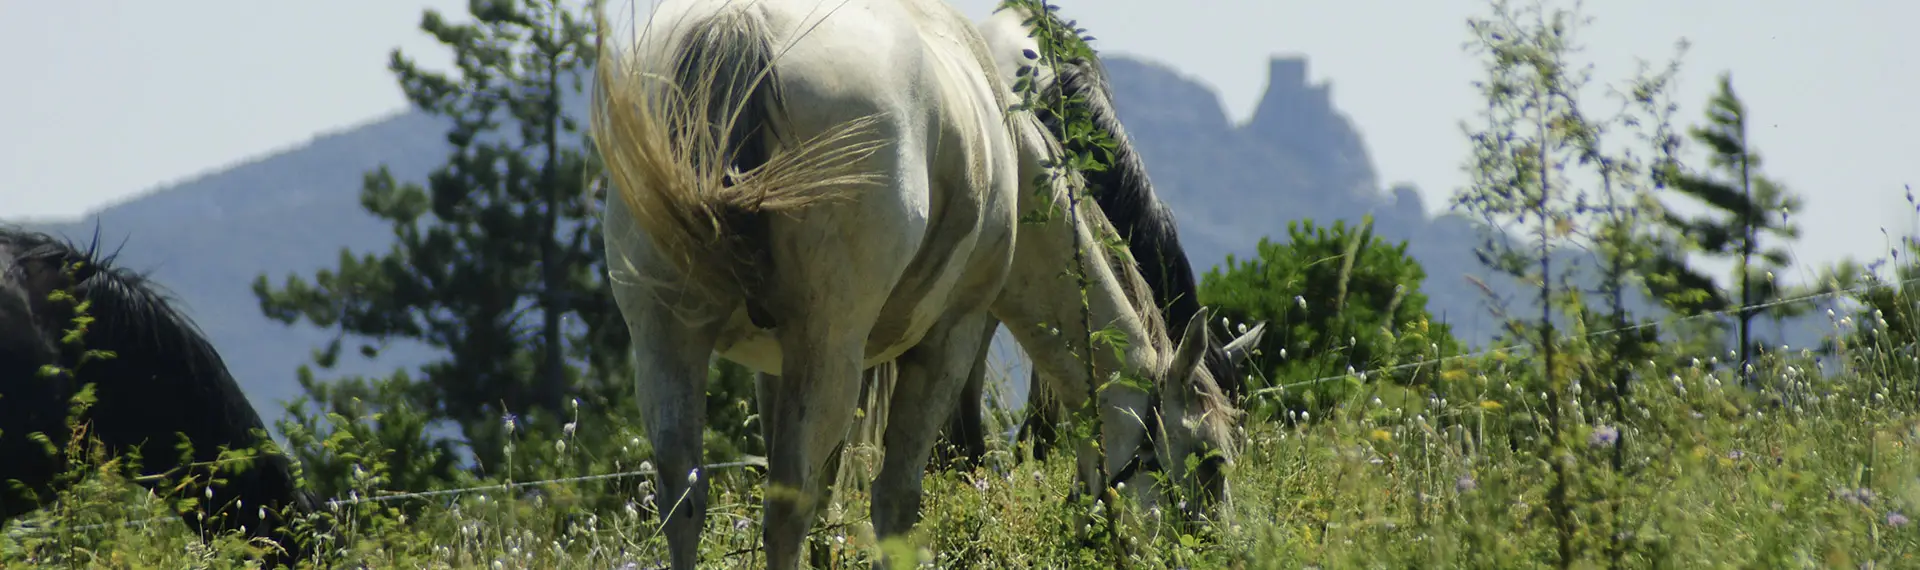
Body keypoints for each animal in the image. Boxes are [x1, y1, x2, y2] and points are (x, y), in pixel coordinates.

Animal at [588, 0, 1243, 566]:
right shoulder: (952, 338)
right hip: (830, 349)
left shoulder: (777, 364)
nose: (1218, 548)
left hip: (667, 341)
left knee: (687, 499)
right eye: (1210, 460)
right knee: (788, 509)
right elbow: (901, 498)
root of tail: (739, 25)